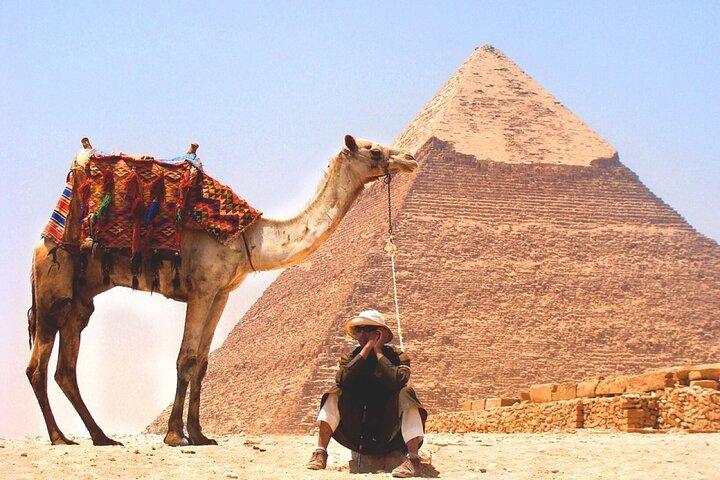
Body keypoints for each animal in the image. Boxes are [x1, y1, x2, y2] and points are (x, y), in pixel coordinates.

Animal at [26, 135, 418, 447]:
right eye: (374, 151)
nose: (410, 158)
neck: (249, 237)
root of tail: (42, 242)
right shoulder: (201, 289)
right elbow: (185, 358)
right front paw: (175, 436)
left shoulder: (221, 293)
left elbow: (202, 363)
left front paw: (200, 434)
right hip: (51, 290)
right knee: (37, 367)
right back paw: (60, 438)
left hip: (78, 302)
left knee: (65, 369)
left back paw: (101, 437)